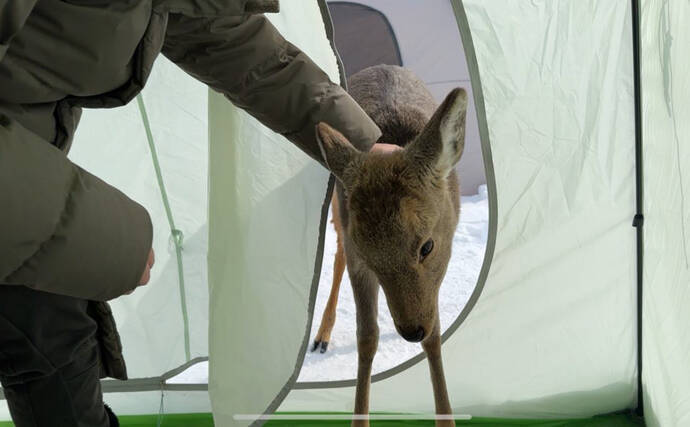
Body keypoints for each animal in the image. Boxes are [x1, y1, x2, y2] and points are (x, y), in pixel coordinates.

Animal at [313, 65, 467, 427]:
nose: (411, 331)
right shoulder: (357, 253)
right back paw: (321, 336)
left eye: (427, 246)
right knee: (338, 256)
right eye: (371, 257)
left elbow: (436, 335)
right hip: (338, 216)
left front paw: (447, 419)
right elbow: (367, 337)